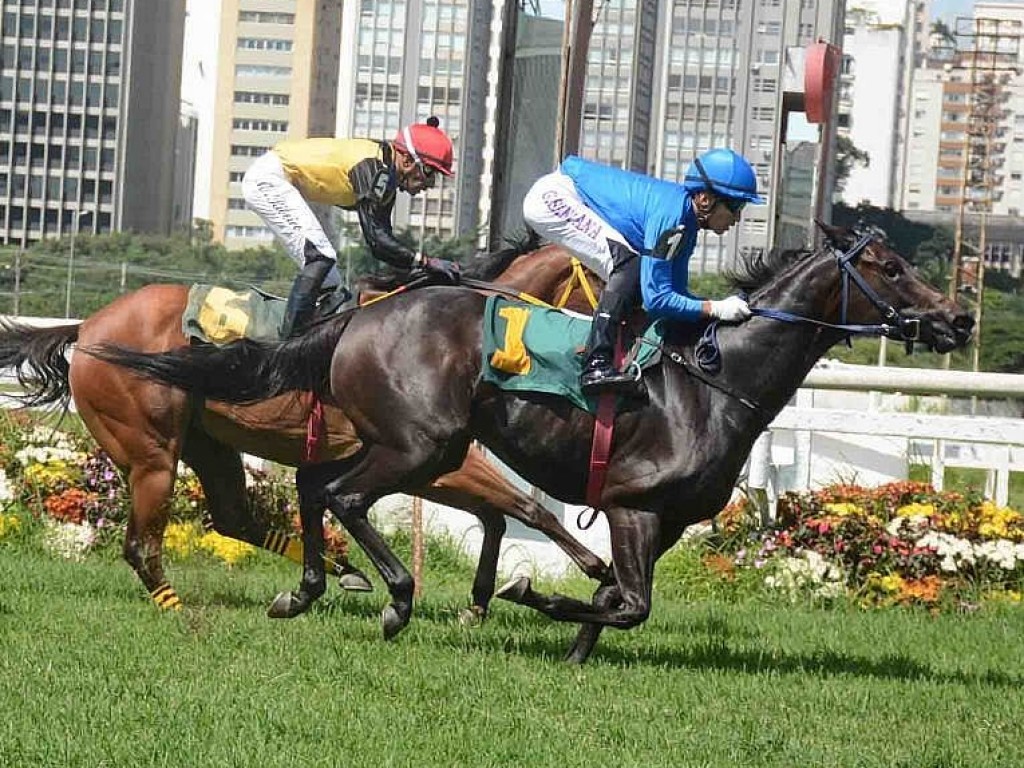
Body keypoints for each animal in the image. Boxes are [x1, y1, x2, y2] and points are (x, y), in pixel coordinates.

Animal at [0, 240, 606, 618]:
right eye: (598, 275)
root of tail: (87, 327)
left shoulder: (419, 461)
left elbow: (498, 515)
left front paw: (479, 601)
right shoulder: (431, 459)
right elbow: (524, 509)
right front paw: (593, 570)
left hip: (207, 442)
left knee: (233, 518)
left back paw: (343, 570)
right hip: (151, 452)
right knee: (141, 545)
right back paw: (178, 606)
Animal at [90, 224, 974, 663]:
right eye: (890, 267)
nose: (959, 319)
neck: (711, 382)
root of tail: (359, 318)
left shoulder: (662, 521)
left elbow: (618, 600)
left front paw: (570, 644)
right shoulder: (630, 506)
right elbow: (626, 597)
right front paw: (524, 595)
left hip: (393, 448)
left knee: (303, 494)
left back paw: (305, 588)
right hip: (421, 445)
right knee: (337, 496)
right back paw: (393, 600)